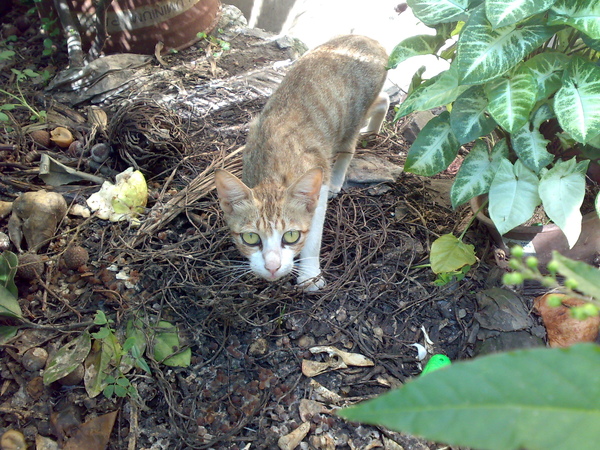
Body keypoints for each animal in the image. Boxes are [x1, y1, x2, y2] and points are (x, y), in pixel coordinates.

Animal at [214, 37, 390, 294]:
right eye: (251, 238)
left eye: (291, 236)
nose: (272, 267)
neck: (271, 170)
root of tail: (367, 39)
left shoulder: (318, 187)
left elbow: (313, 237)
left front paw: (310, 275)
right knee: (384, 99)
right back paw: (374, 128)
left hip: (351, 119)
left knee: (349, 145)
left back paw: (340, 176)